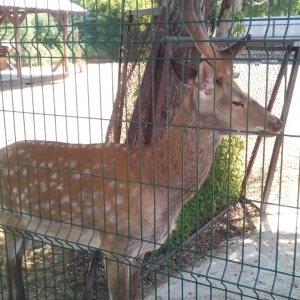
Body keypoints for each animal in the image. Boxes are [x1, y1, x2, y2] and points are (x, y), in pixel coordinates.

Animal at [0, 0, 282, 300]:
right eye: (238, 101)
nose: (276, 122)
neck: (155, 181)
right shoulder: (115, 243)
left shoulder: (138, 251)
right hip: (10, 217)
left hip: (24, 228)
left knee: (13, 270)